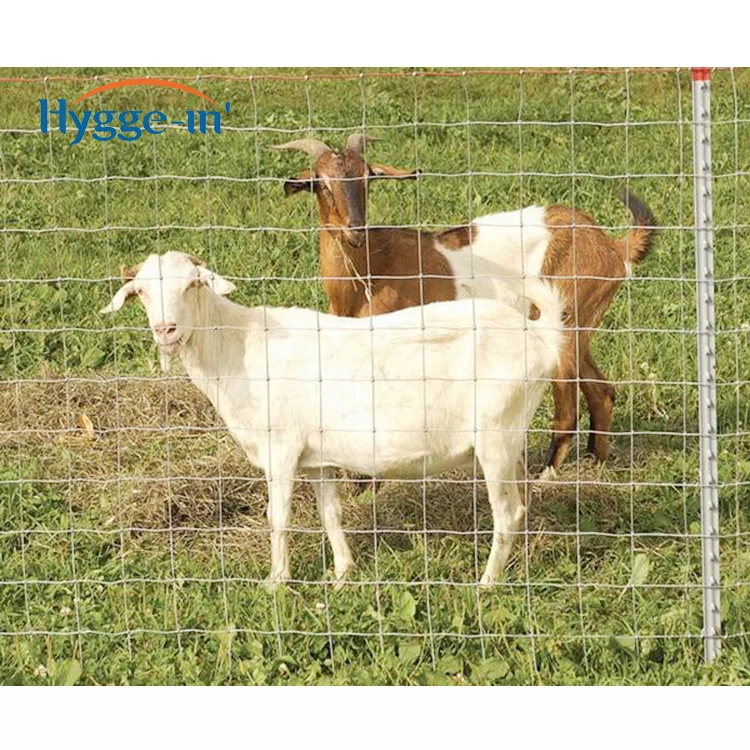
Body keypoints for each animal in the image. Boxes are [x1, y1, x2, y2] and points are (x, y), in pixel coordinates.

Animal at [101, 251, 564, 586]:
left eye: (193, 284)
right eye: (141, 292)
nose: (166, 330)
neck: (239, 347)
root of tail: (540, 336)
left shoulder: (281, 449)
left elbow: (278, 517)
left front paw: (277, 582)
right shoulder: (317, 458)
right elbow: (330, 514)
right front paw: (342, 575)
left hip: (495, 436)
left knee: (507, 512)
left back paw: (486, 585)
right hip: (510, 439)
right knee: (521, 504)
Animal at [277, 134, 657, 476]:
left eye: (367, 176)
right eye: (320, 182)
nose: (355, 227)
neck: (369, 272)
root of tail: (612, 246)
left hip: (565, 321)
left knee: (568, 407)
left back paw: (546, 476)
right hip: (581, 325)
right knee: (602, 391)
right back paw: (596, 463)